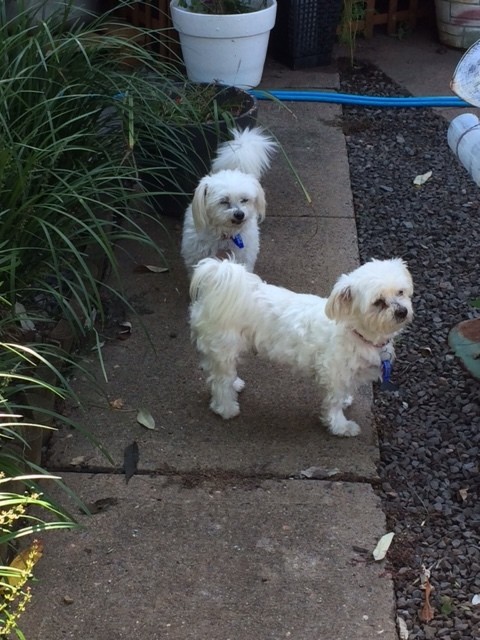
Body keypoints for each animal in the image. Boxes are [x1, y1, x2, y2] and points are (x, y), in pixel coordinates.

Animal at [189, 257, 413, 437]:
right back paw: (226, 408)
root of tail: (216, 287)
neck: (355, 331)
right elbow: (334, 403)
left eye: (401, 292)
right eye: (378, 302)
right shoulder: (334, 373)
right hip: (223, 349)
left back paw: (235, 385)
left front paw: (345, 402)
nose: (402, 311)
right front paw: (340, 427)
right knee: (219, 382)